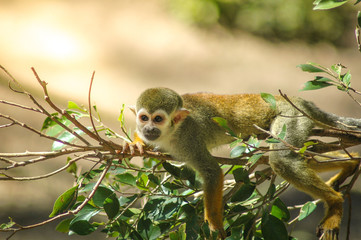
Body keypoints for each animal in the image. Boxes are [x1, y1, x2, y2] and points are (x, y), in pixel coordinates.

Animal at [124, 87, 360, 239]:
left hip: (291, 117)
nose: (149, 129)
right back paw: (350, 164)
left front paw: (214, 222)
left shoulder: (188, 141)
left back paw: (335, 201)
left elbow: (212, 172)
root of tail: (294, 99)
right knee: (304, 154)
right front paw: (136, 144)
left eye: (158, 119)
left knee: (281, 159)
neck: (171, 133)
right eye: (144, 118)